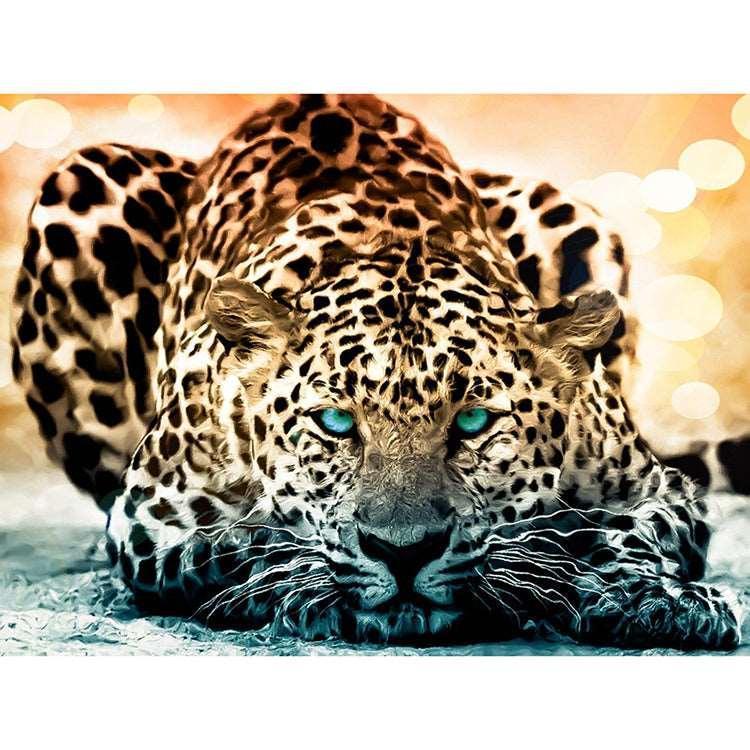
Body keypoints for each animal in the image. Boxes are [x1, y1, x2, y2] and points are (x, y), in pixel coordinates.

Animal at [10, 94, 744, 649]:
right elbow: (248, 542)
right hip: (84, 183)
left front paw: (658, 596)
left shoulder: (656, 487)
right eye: (336, 422)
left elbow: (629, 531)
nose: (405, 550)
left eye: (473, 421)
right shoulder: (151, 516)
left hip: (573, 218)